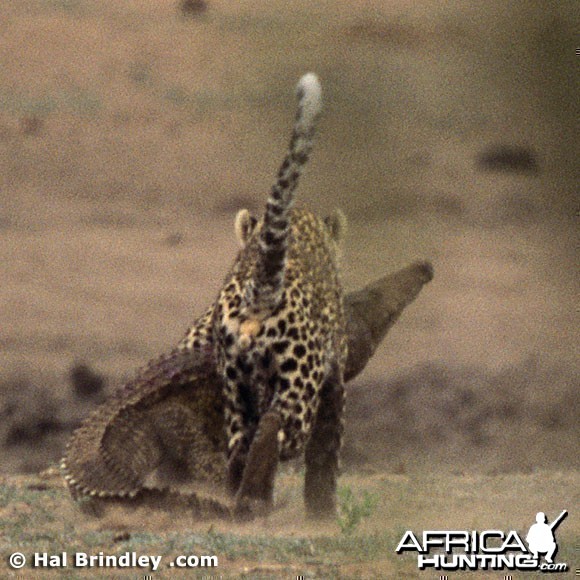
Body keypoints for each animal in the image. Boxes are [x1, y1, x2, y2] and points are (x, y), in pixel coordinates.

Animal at [179, 72, 346, 516]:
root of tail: (261, 290)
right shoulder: (334, 379)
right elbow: (327, 451)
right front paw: (323, 511)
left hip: (236, 384)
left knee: (241, 443)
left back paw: (243, 501)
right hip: (298, 387)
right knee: (278, 432)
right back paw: (256, 500)